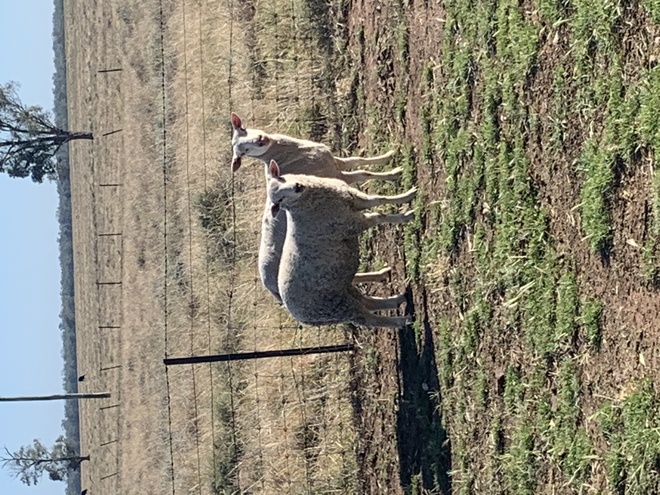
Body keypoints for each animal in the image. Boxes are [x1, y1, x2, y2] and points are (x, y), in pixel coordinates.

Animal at [230, 113, 403, 301]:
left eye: (243, 129)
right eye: (243, 152)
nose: (261, 140)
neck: (288, 153)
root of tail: (271, 289)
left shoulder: (334, 162)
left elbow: (358, 160)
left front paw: (389, 156)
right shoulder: (335, 174)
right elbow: (363, 174)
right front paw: (395, 174)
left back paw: (381, 276)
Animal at [267, 160, 416, 328]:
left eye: (281, 178)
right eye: (279, 200)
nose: (297, 186)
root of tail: (298, 316)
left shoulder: (353, 197)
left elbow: (380, 199)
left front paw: (407, 194)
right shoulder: (349, 223)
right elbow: (379, 216)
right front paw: (405, 216)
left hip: (342, 290)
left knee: (366, 301)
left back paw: (398, 299)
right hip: (336, 308)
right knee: (369, 319)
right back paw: (403, 320)